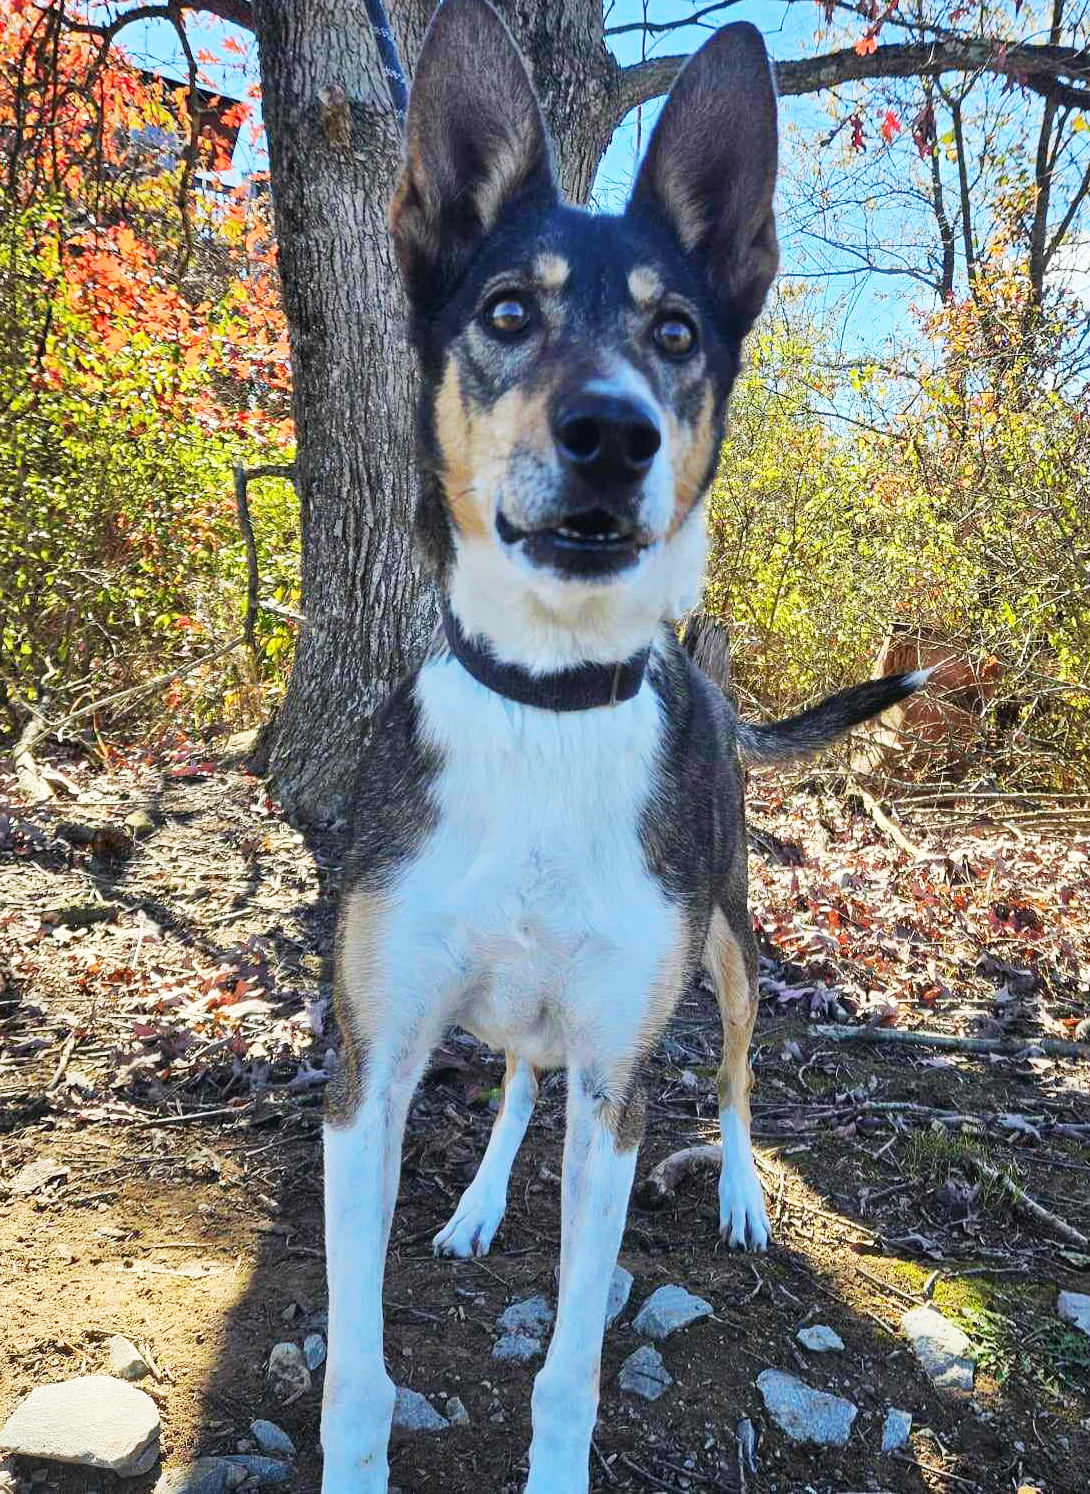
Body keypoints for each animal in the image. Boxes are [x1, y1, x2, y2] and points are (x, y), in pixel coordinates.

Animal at [321, 5, 925, 1488]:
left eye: (673, 329)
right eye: (506, 313)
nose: (610, 433)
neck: (548, 699)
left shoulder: (616, 1088)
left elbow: (569, 1370)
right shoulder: (368, 1073)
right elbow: (357, 1371)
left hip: (730, 942)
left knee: (737, 1071)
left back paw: (742, 1188)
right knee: (509, 1078)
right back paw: (479, 1201)